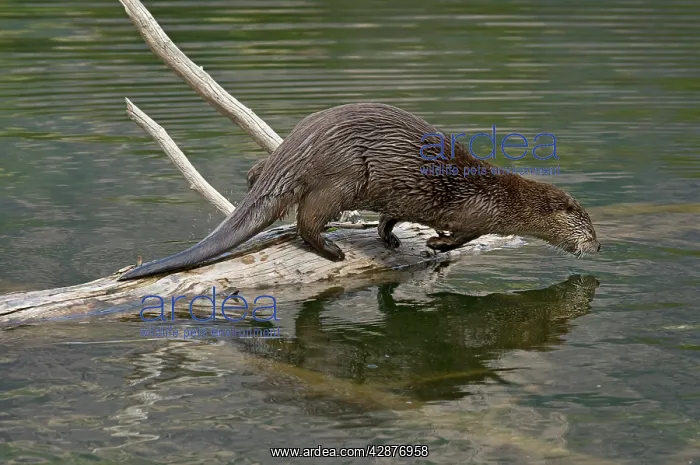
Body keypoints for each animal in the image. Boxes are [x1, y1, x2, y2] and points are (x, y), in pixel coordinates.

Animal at [118, 103, 600, 281]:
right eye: (587, 226)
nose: (598, 248)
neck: (504, 196)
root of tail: (300, 144)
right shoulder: (478, 212)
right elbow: (463, 236)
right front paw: (435, 243)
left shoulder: (401, 198)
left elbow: (392, 216)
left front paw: (391, 237)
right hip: (343, 177)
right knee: (306, 219)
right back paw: (331, 250)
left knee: (260, 176)